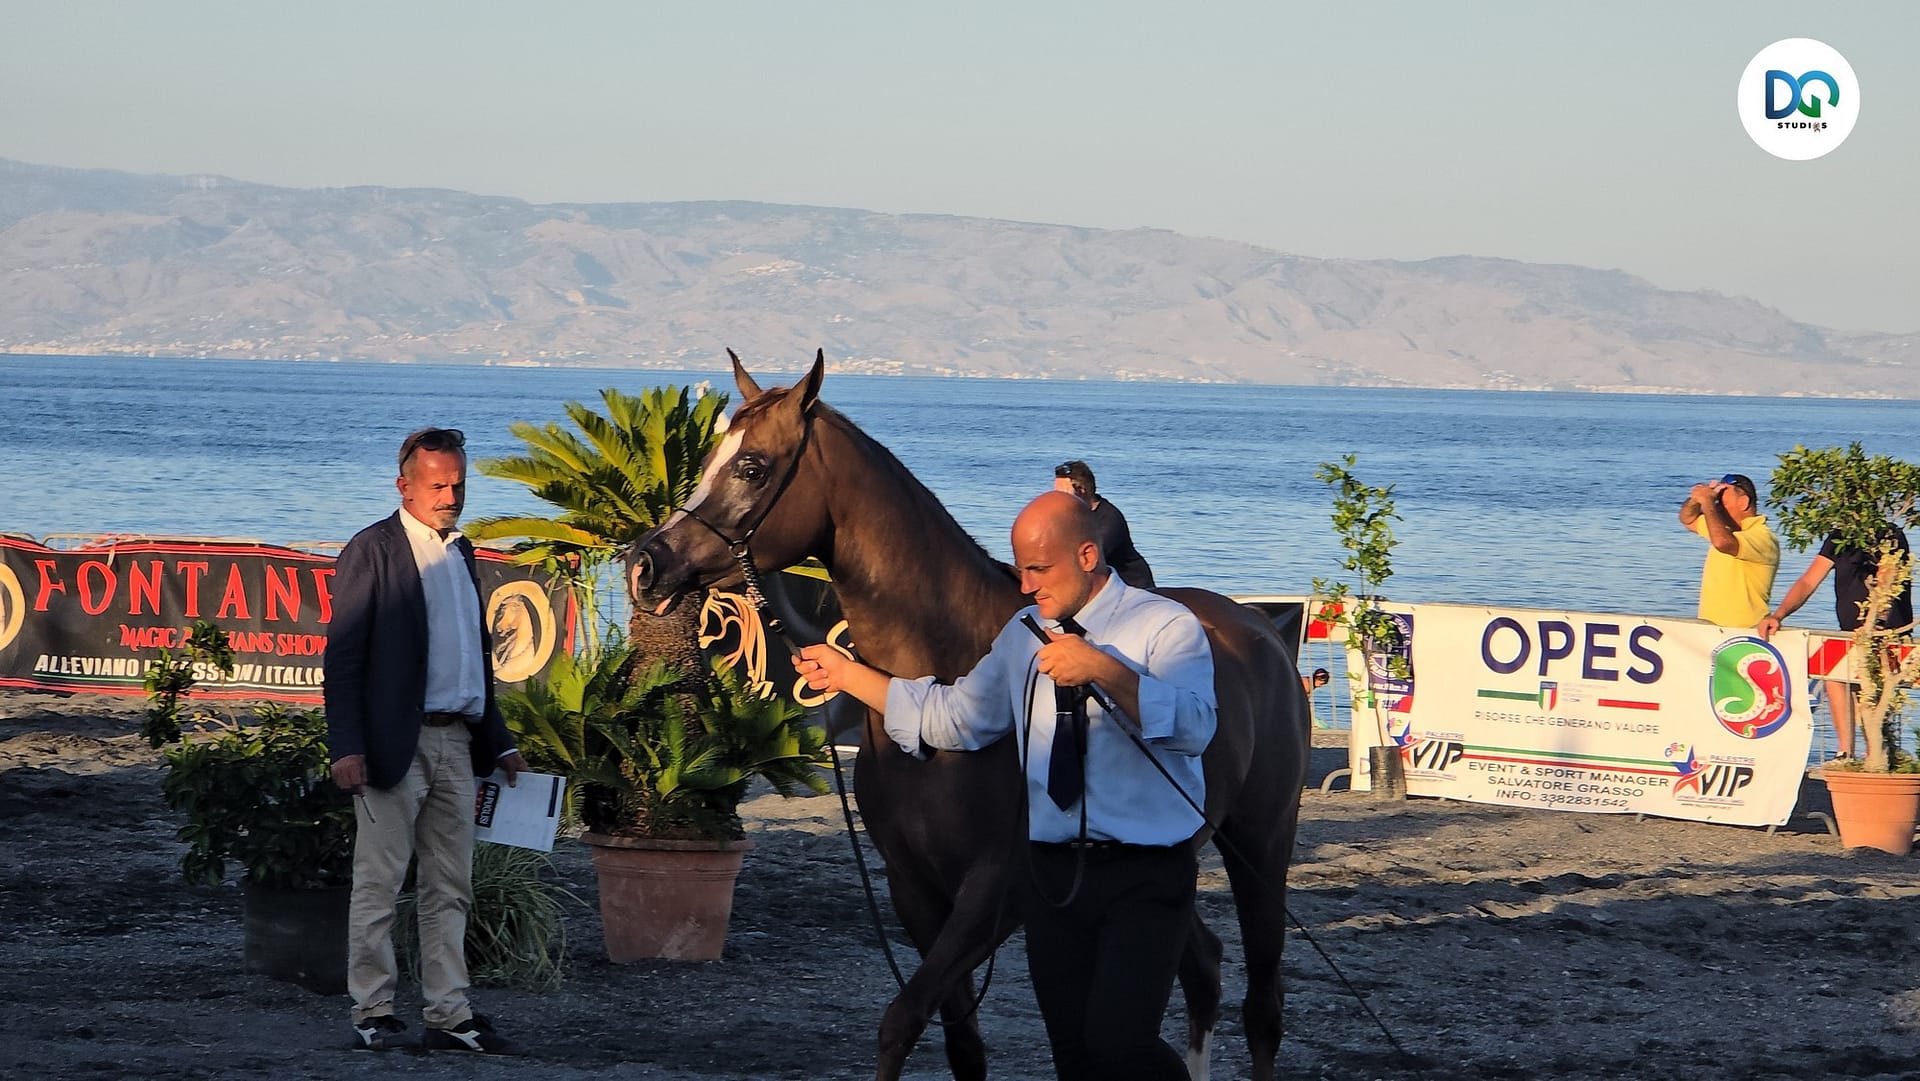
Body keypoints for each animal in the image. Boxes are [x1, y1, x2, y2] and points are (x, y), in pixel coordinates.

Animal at [630, 351, 1310, 1081]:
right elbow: (958, 1041)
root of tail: (1260, 632)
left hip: (1262, 845)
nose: (646, 563)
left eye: (753, 466)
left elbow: (901, 1019)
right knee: (1203, 967)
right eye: (708, 459)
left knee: (1262, 1007)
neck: (948, 662)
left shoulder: (997, 893)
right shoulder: (917, 892)